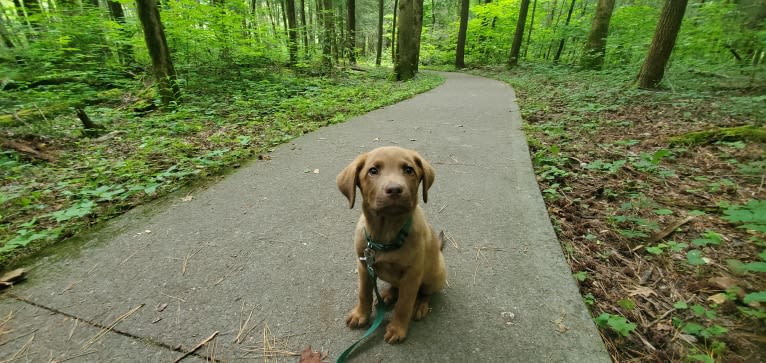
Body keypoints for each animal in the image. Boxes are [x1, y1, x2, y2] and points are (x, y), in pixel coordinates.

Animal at [338, 147, 450, 344]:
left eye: (409, 170)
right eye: (373, 170)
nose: (395, 189)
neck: (385, 234)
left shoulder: (412, 275)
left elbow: (404, 305)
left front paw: (397, 329)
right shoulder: (363, 266)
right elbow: (364, 294)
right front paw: (360, 315)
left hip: (434, 276)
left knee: (426, 293)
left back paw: (420, 305)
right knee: (395, 286)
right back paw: (387, 295)